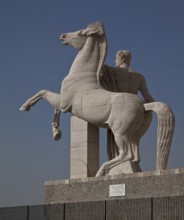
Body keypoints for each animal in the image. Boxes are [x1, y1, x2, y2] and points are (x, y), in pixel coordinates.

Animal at [19, 21, 175, 176]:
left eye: (81, 32)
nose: (62, 36)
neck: (82, 75)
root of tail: (144, 106)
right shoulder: (64, 104)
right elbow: (54, 108)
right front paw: (56, 133)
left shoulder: (63, 102)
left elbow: (43, 93)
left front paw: (25, 107)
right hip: (136, 135)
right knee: (135, 156)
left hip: (120, 132)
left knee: (126, 154)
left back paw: (101, 171)